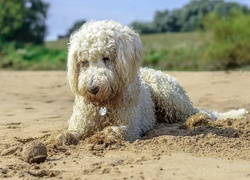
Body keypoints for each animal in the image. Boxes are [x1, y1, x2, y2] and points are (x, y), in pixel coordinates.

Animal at [56, 19, 246, 144]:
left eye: (106, 58)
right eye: (84, 62)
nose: (92, 88)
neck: (105, 104)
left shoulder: (131, 124)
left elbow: (119, 130)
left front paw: (104, 135)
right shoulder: (81, 122)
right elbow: (70, 132)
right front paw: (63, 138)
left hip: (168, 96)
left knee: (195, 112)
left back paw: (197, 119)